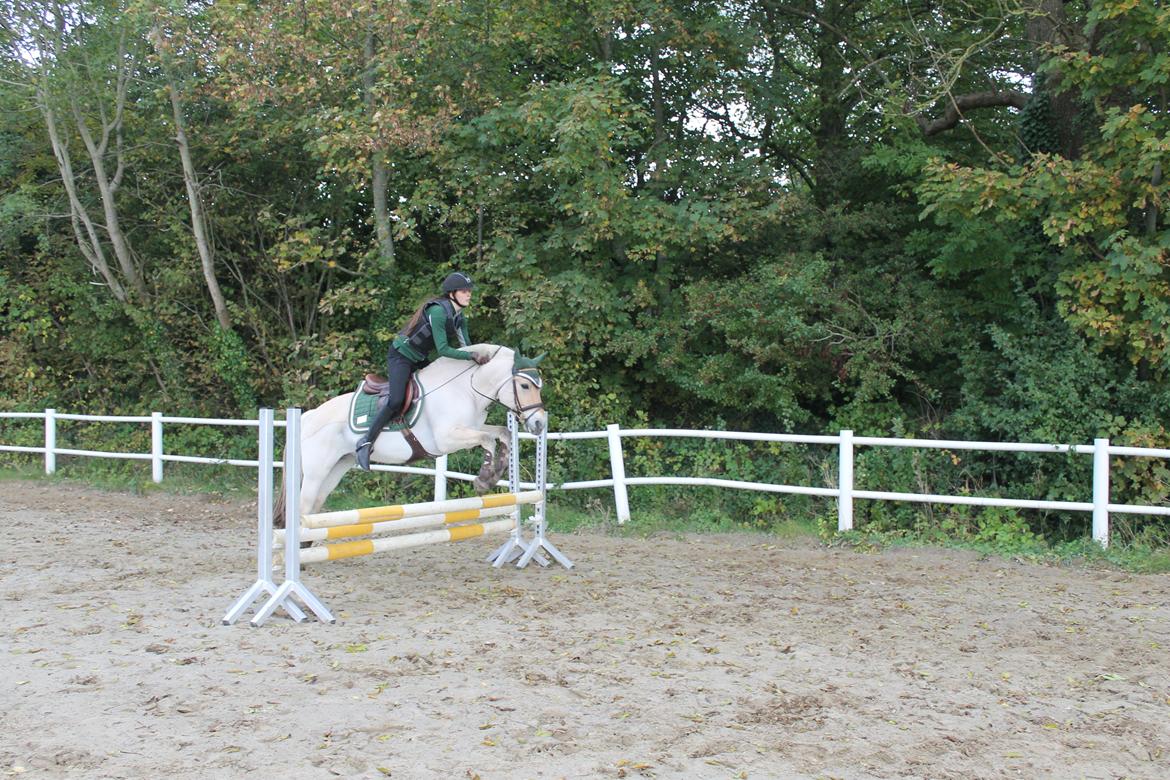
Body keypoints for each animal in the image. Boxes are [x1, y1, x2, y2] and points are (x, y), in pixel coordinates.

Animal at [274, 343, 547, 528]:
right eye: (525, 385)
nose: (540, 423)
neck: (465, 390)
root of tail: (307, 417)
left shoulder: (471, 427)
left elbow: (503, 433)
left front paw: (498, 469)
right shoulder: (446, 439)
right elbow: (488, 439)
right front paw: (484, 479)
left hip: (337, 467)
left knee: (314, 504)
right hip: (315, 471)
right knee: (303, 505)